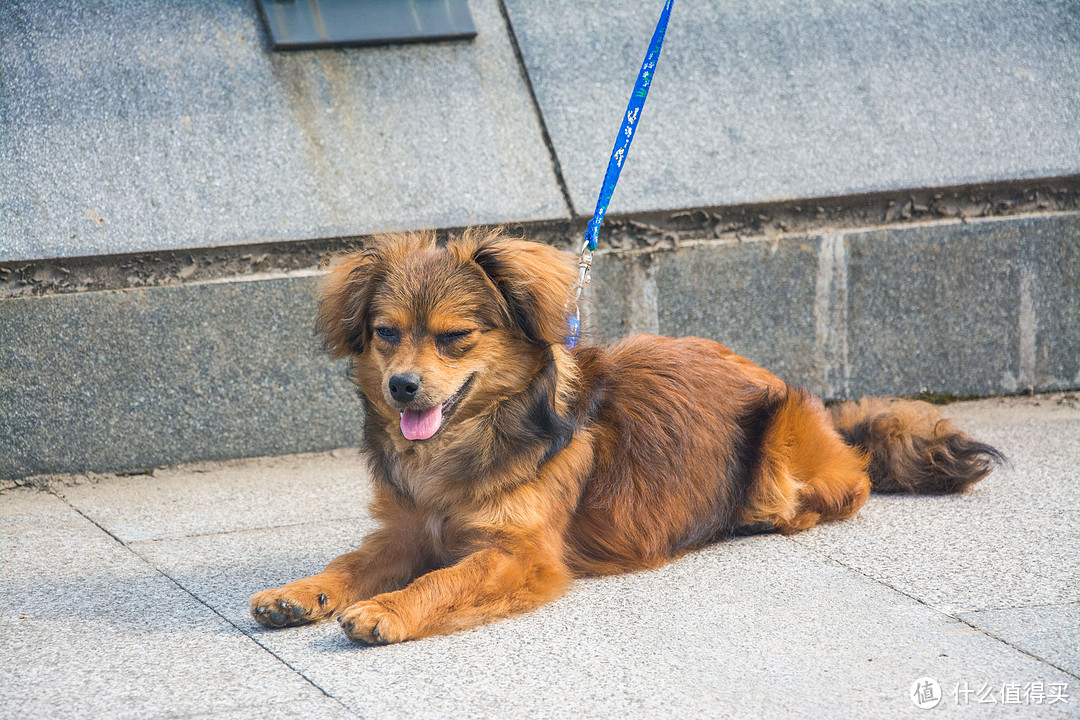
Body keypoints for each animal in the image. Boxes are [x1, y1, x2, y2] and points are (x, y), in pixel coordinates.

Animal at [250, 227, 1002, 643]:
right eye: (386, 333)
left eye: (454, 337)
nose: (402, 387)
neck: (464, 445)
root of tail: (828, 420)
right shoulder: (405, 530)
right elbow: (351, 562)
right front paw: (301, 592)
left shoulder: (521, 554)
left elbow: (443, 579)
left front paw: (389, 608)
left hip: (778, 461)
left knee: (846, 488)